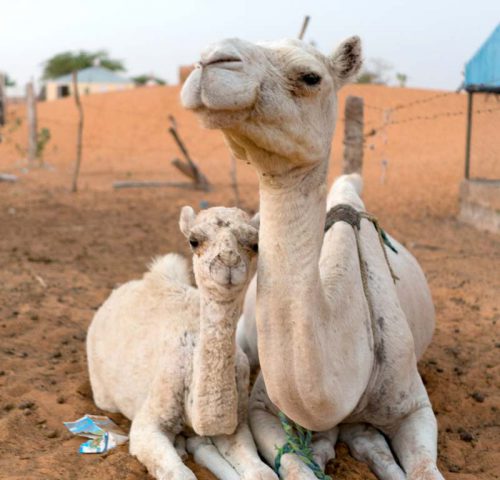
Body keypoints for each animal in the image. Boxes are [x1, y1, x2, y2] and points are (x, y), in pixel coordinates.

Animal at [86, 205, 278, 480]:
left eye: (254, 244)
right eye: (194, 241)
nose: (229, 261)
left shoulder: (237, 422)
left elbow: (262, 472)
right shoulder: (148, 422)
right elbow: (180, 473)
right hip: (102, 394)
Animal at [181, 35, 446, 478]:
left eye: (310, 76)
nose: (208, 61)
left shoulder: (415, 407)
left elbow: (426, 468)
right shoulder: (263, 409)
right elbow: (292, 467)